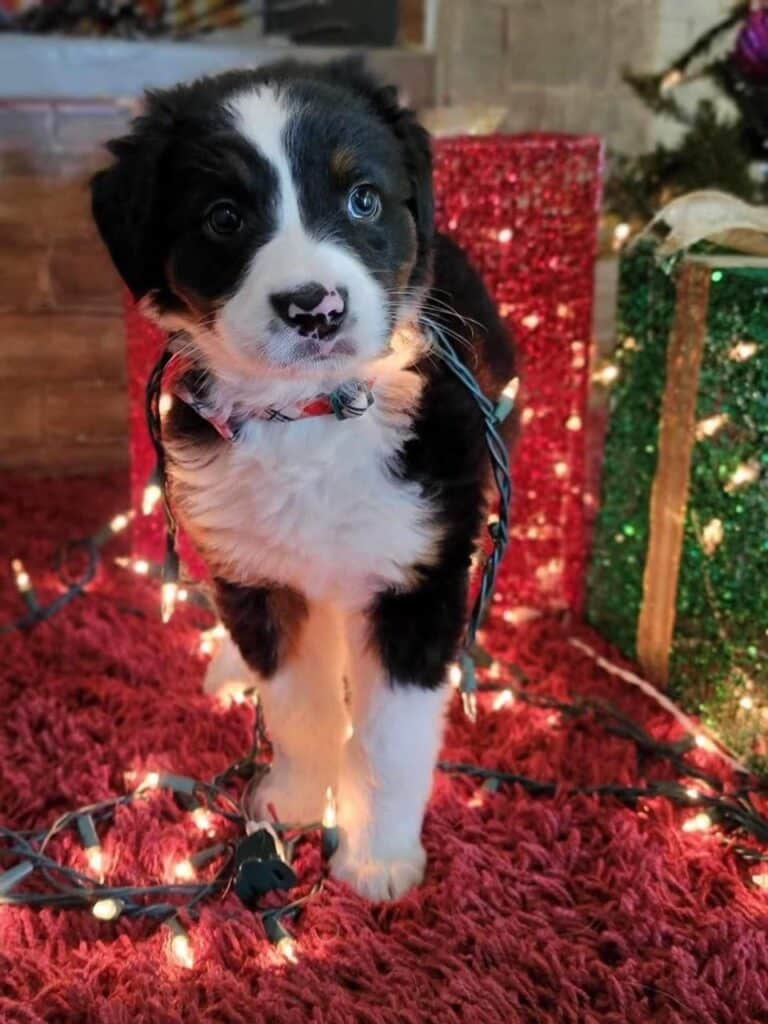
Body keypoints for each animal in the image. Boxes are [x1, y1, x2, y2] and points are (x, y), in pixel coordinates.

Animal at [94, 59, 518, 901]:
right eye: (224, 218)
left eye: (363, 199)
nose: (314, 307)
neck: (313, 417)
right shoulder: (263, 575)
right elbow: (299, 705)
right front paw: (292, 801)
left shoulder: (417, 575)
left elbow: (389, 736)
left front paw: (379, 858)